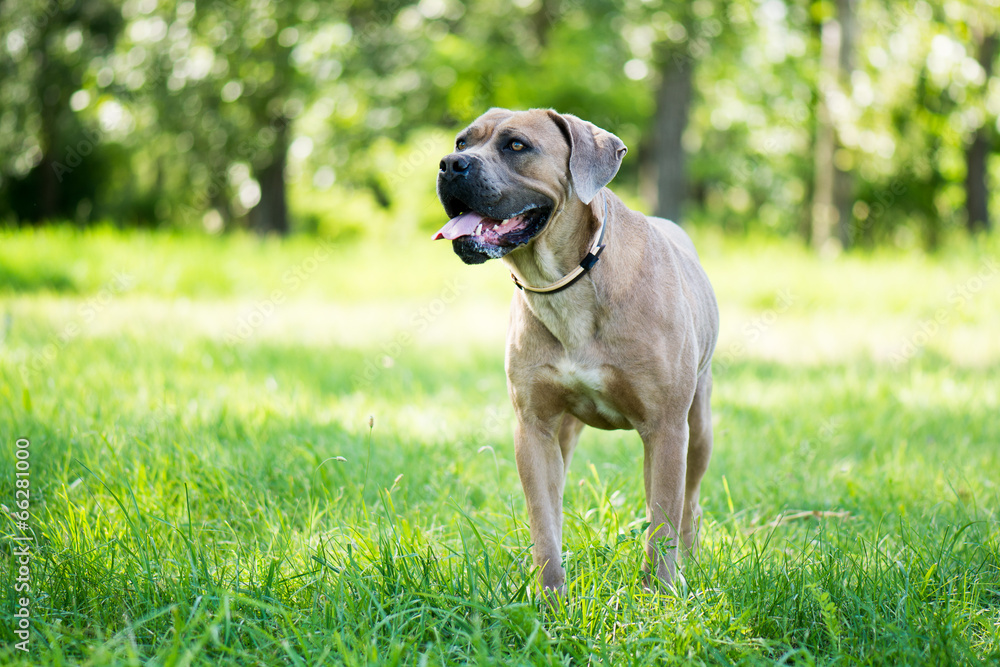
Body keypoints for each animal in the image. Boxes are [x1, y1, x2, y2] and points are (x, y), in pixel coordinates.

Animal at [434, 109, 716, 596]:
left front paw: (659, 595)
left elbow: (663, 519)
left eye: (516, 146)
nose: (450, 165)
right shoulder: (535, 429)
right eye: (461, 142)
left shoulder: (666, 428)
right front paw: (549, 596)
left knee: (688, 505)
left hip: (697, 427)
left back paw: (688, 563)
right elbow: (544, 521)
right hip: (565, 432)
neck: (567, 282)